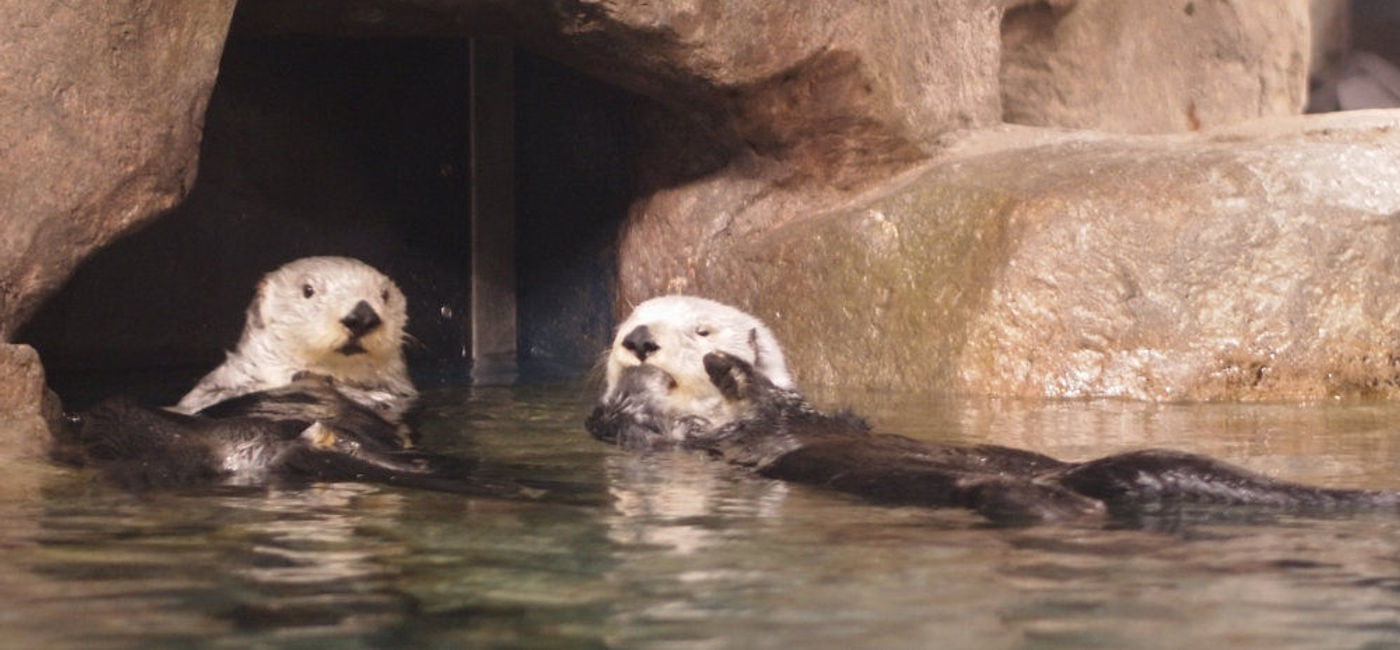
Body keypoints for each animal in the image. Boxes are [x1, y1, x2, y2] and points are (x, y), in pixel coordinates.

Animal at [588, 301, 1400, 524]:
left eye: (701, 329)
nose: (640, 342)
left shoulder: (789, 406)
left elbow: (786, 399)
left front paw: (729, 370)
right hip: (998, 490)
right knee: (1036, 501)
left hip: (1050, 462)